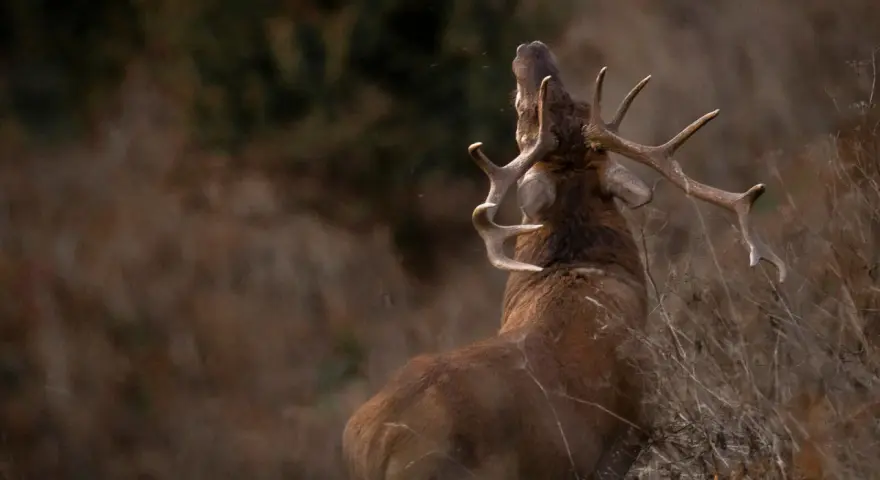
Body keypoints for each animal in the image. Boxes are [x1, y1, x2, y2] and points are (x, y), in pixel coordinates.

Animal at [341, 40, 787, 480]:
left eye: (572, 101)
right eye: (529, 115)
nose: (531, 48)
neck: (578, 270)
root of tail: (374, 443)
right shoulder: (632, 429)